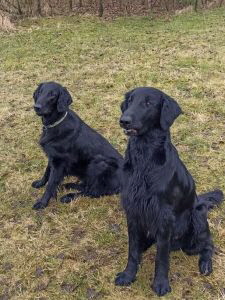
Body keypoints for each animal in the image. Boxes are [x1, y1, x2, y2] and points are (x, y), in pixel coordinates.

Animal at [31, 81, 123, 210]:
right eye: (40, 92)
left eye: (52, 95)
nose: (37, 107)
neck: (55, 124)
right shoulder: (52, 157)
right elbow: (47, 172)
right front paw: (40, 183)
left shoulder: (59, 162)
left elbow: (51, 184)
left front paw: (42, 203)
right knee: (86, 186)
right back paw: (67, 186)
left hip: (99, 163)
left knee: (93, 191)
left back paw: (68, 196)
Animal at [115, 86, 224, 296]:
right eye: (130, 101)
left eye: (148, 103)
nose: (124, 120)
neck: (144, 159)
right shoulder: (132, 209)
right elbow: (132, 250)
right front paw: (128, 275)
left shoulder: (164, 216)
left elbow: (162, 257)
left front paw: (160, 284)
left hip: (197, 218)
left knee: (208, 243)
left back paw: (205, 264)